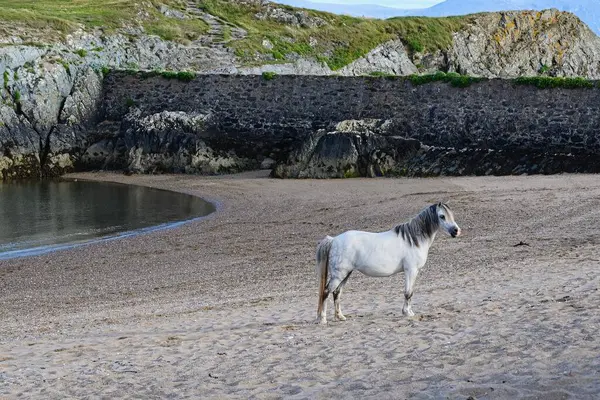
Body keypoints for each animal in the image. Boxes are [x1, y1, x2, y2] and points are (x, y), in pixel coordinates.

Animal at [316, 203, 462, 324]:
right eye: (442, 216)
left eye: (451, 215)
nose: (456, 231)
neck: (413, 240)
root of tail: (334, 240)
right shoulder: (411, 270)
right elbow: (408, 293)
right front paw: (407, 313)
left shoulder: (413, 271)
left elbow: (410, 292)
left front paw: (409, 311)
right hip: (339, 274)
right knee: (326, 292)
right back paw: (322, 319)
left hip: (346, 274)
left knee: (337, 293)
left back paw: (340, 316)